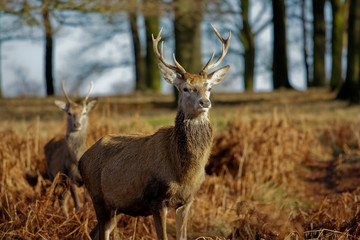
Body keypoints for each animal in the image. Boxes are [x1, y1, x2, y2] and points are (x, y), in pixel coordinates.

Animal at [44, 80, 96, 216]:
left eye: (84, 112)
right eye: (69, 113)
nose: (77, 124)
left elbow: (87, 204)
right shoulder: (71, 176)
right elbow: (78, 205)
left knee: (62, 198)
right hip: (54, 176)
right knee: (56, 197)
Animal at [79, 24, 231, 240]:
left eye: (208, 87)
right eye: (185, 88)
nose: (205, 102)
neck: (183, 172)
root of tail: (81, 159)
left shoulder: (188, 200)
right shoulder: (156, 199)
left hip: (117, 206)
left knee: (95, 233)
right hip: (97, 196)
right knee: (102, 233)